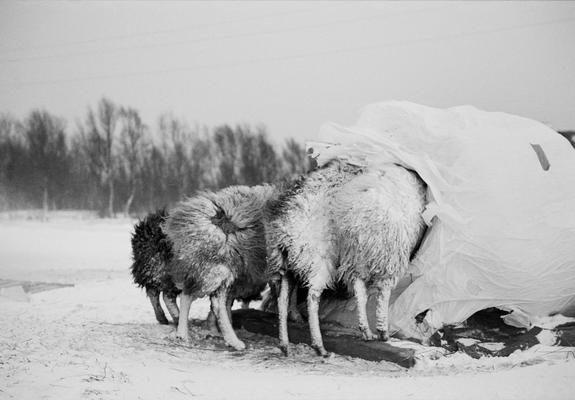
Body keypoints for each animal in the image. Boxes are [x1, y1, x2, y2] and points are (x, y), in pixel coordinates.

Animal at [163, 184, 278, 350]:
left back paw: (222, 334)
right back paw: (187, 335)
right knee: (196, 298)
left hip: (225, 270)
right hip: (216, 268)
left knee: (217, 302)